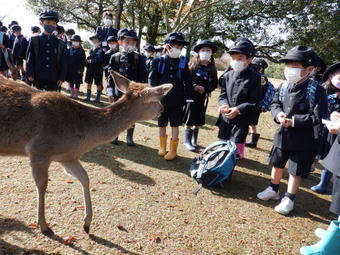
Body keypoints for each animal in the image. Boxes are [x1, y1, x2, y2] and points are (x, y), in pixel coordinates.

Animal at [0, 70, 173, 236]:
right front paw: (44, 226)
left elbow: (85, 178)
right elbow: (42, 185)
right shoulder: (38, 150)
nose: (163, 109)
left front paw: (87, 224)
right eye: (155, 99)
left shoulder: (67, 158)